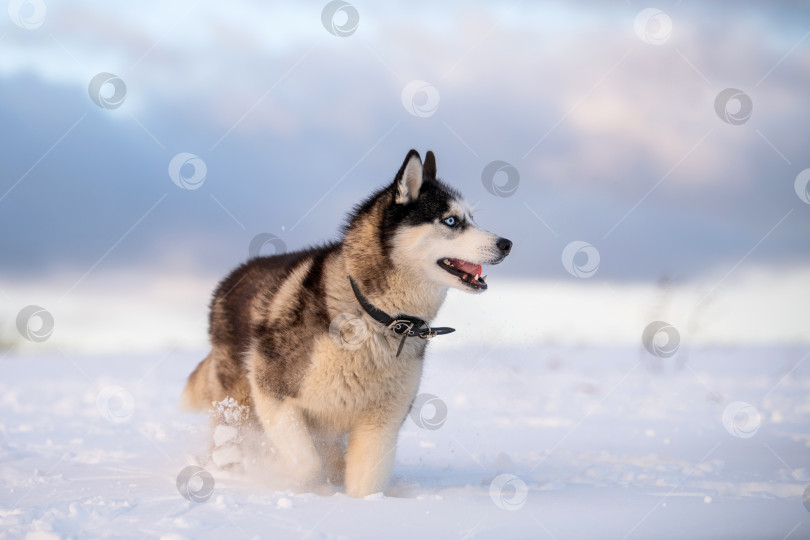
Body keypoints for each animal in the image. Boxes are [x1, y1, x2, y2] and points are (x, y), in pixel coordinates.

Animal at [183, 150, 512, 496]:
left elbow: (366, 484)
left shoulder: (379, 423)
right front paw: (297, 483)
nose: (506, 244)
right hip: (239, 406)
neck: (377, 317)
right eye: (450, 220)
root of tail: (230, 278)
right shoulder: (273, 392)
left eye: (472, 218)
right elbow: (307, 464)